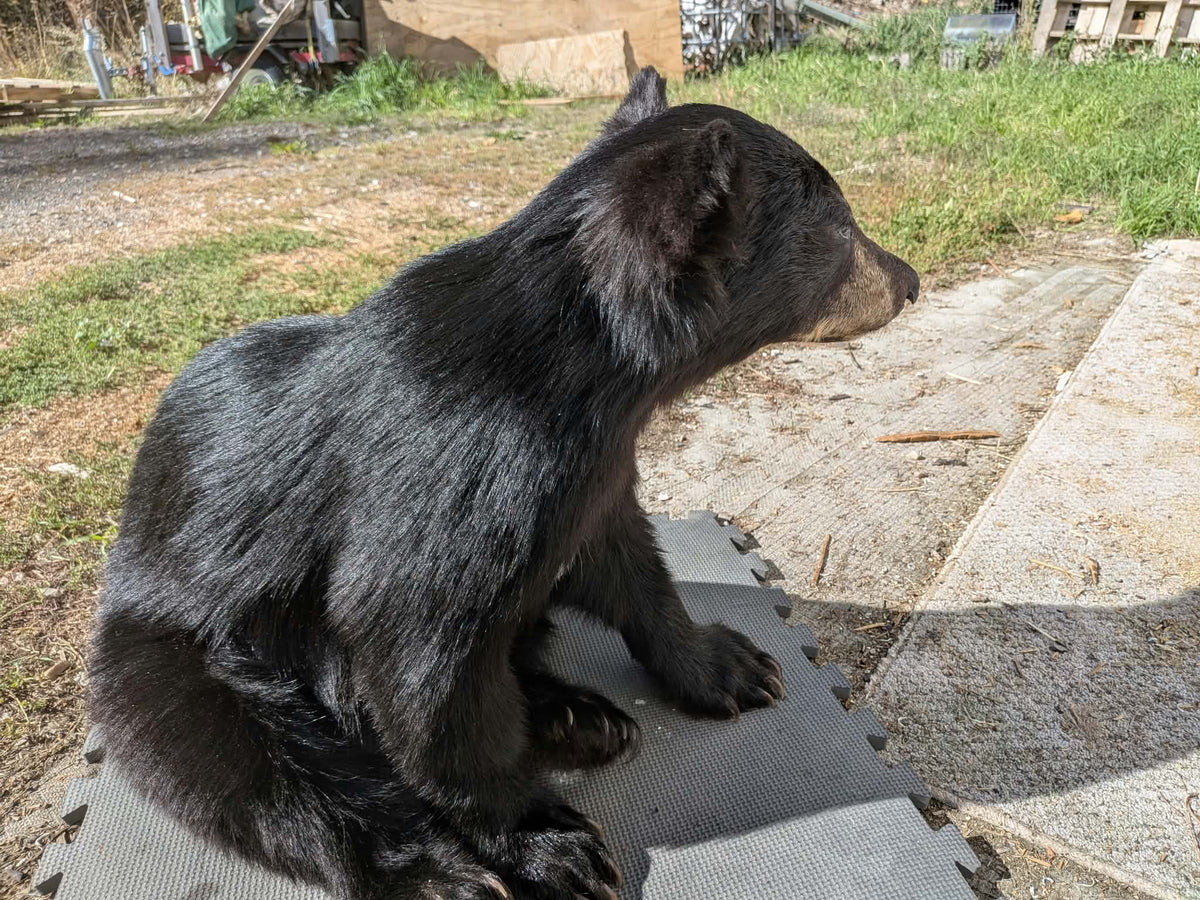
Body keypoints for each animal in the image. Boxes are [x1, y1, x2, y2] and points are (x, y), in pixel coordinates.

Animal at [88, 67, 919, 900]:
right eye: (844, 231)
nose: (909, 281)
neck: (593, 380)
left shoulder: (588, 478)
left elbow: (625, 563)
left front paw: (731, 664)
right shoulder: (457, 473)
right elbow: (418, 658)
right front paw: (546, 842)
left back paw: (576, 718)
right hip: (170, 658)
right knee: (262, 763)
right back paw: (437, 869)